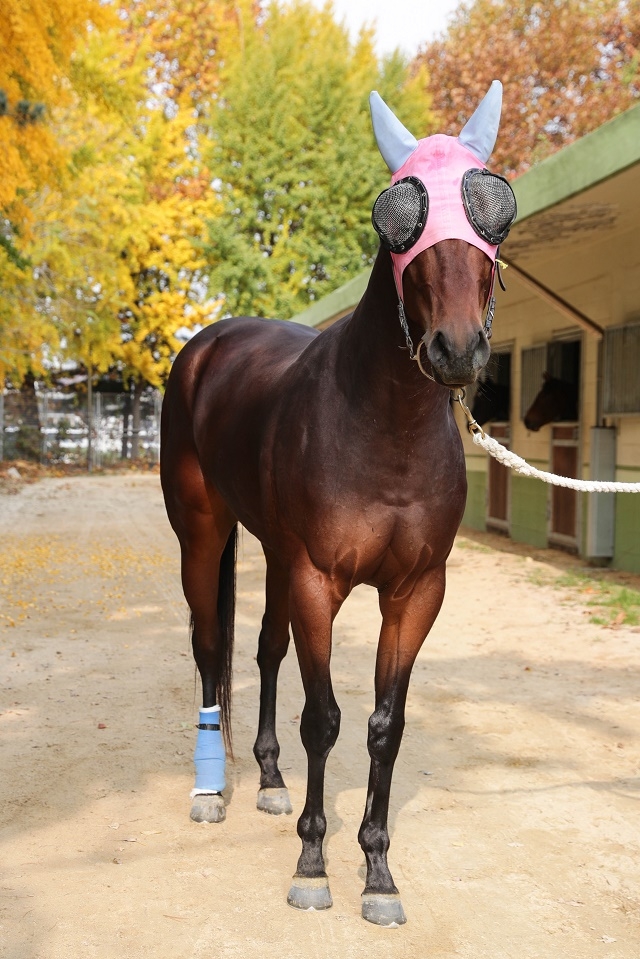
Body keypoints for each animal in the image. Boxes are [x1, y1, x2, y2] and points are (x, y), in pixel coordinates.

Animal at [162, 84, 516, 928]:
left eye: (497, 209)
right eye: (396, 213)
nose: (456, 349)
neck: (384, 432)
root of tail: (208, 345)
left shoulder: (415, 593)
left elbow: (385, 727)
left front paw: (379, 872)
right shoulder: (318, 581)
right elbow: (323, 717)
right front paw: (313, 863)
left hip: (273, 552)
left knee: (261, 650)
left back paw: (267, 779)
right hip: (202, 533)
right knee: (208, 646)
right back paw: (210, 787)